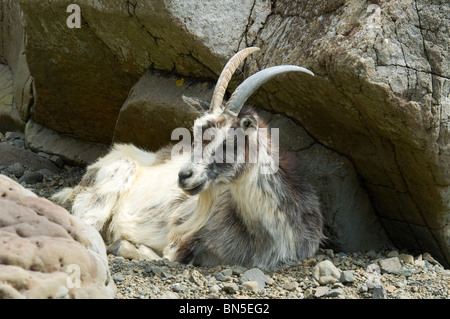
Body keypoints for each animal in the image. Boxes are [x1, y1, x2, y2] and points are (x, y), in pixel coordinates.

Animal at [54, 47, 324, 272]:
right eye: (194, 134)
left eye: (229, 141)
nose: (184, 176)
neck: (264, 235)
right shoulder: (183, 232)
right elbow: (171, 257)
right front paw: (129, 246)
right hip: (110, 182)